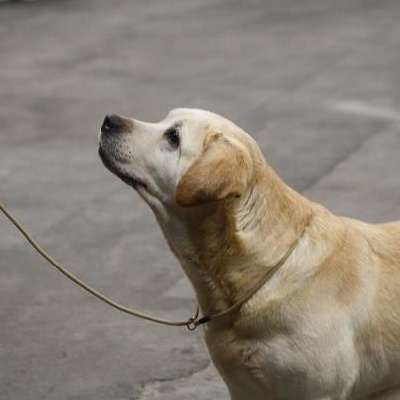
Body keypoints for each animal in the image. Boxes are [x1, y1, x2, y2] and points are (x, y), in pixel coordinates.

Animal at [99, 108, 400, 398]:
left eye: (173, 137)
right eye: (164, 121)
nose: (109, 120)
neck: (260, 272)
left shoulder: (319, 391)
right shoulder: (241, 388)